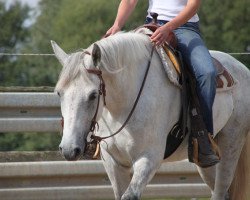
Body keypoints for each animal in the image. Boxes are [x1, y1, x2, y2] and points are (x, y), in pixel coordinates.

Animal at [50, 30, 250, 199]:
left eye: (93, 95)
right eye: (59, 93)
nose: (68, 149)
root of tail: (242, 68)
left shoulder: (149, 158)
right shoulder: (113, 162)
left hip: (231, 144)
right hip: (205, 161)